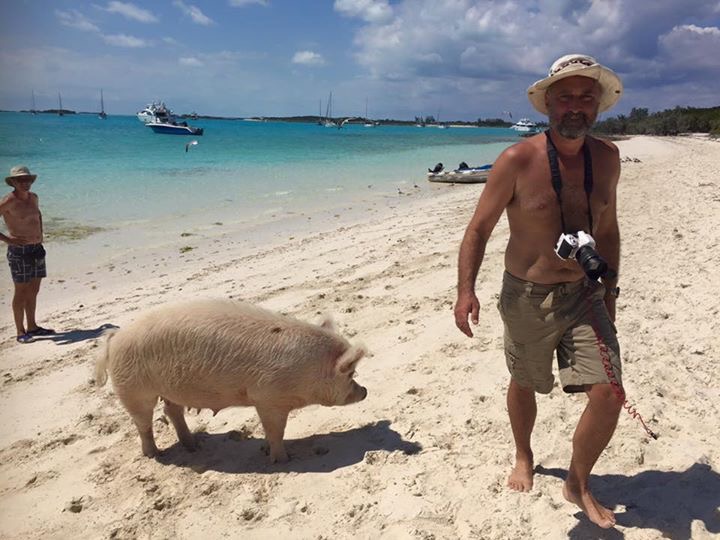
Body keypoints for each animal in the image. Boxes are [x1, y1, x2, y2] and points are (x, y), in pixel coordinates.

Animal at [94, 298, 368, 463]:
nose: (365, 390)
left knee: (171, 410)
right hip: (133, 390)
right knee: (143, 422)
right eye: (350, 373)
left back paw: (194, 445)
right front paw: (282, 460)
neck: (308, 371)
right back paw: (154, 455)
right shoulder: (268, 398)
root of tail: (115, 337)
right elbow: (276, 430)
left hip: (171, 389)